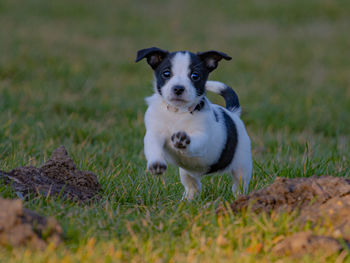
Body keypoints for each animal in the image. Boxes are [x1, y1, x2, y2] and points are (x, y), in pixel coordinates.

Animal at [135, 47, 253, 200]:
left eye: (195, 76)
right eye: (166, 74)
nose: (178, 88)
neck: (178, 112)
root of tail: (233, 113)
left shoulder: (202, 137)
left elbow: (195, 141)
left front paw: (183, 140)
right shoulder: (154, 133)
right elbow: (153, 147)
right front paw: (156, 163)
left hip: (242, 166)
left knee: (239, 185)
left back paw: (241, 198)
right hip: (186, 173)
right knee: (193, 186)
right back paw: (187, 200)